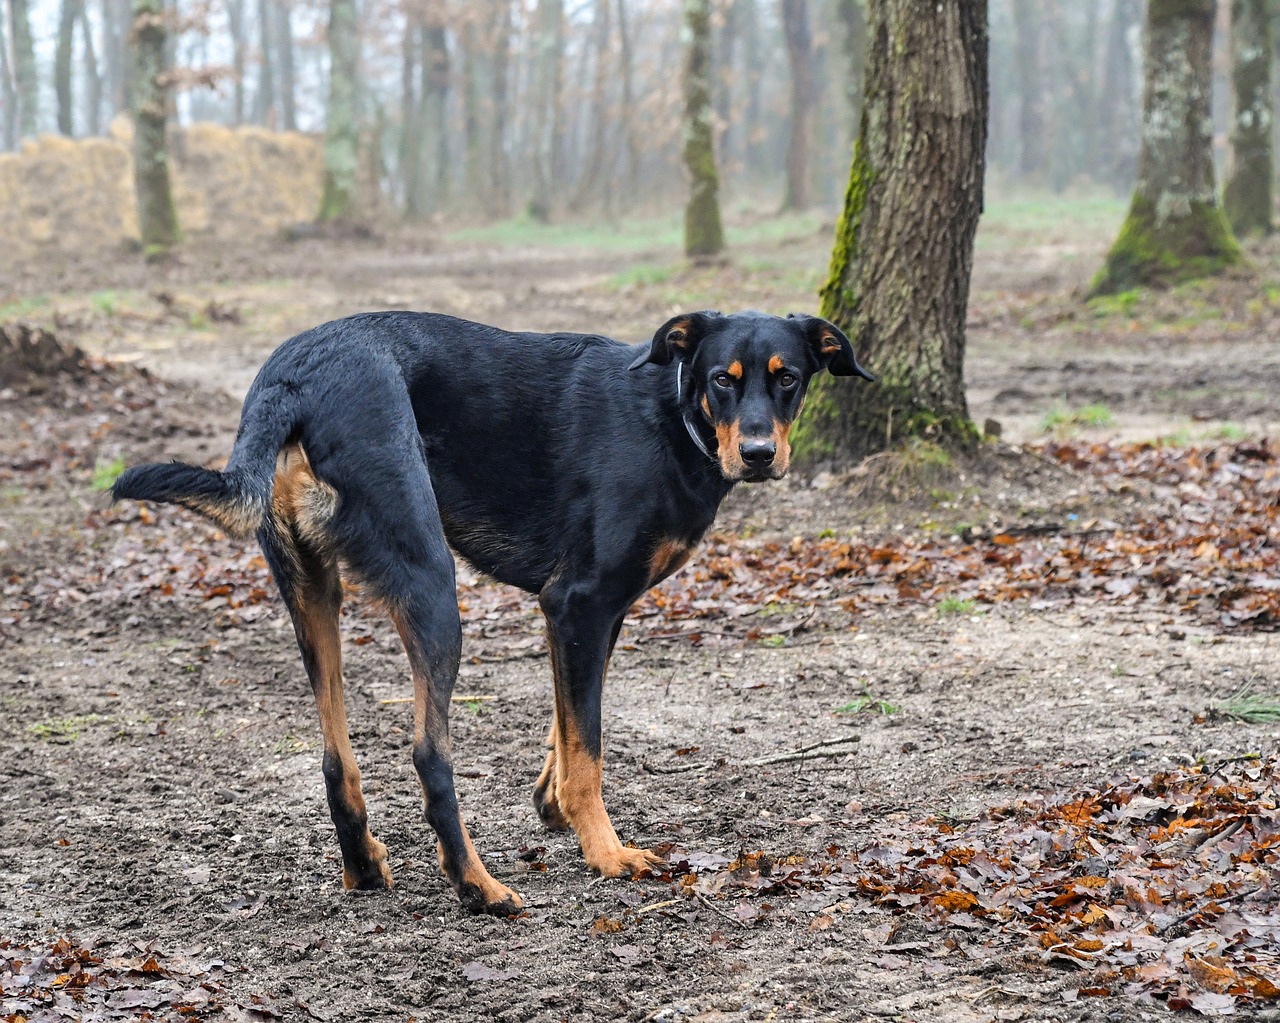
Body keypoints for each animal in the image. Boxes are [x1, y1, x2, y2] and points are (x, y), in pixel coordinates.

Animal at [112, 308, 870, 916]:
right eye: (721, 378)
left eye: (787, 379)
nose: (760, 455)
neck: (669, 417)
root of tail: (291, 379)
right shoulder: (580, 602)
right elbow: (588, 745)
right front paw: (605, 850)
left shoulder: (590, 616)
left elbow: (568, 726)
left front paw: (552, 800)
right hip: (431, 586)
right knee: (429, 755)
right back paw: (477, 886)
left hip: (311, 591)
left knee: (333, 757)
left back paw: (364, 866)